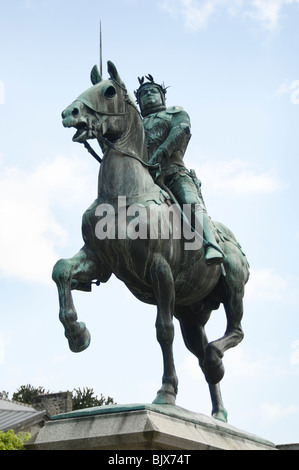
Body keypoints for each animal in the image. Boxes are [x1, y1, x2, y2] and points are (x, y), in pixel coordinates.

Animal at [53, 61, 251, 422]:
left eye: (109, 91)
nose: (69, 112)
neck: (122, 198)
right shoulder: (97, 259)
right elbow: (60, 270)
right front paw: (77, 334)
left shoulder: (160, 271)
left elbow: (162, 330)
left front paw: (167, 392)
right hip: (192, 315)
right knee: (204, 359)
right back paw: (218, 413)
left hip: (233, 288)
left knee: (234, 333)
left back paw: (216, 358)